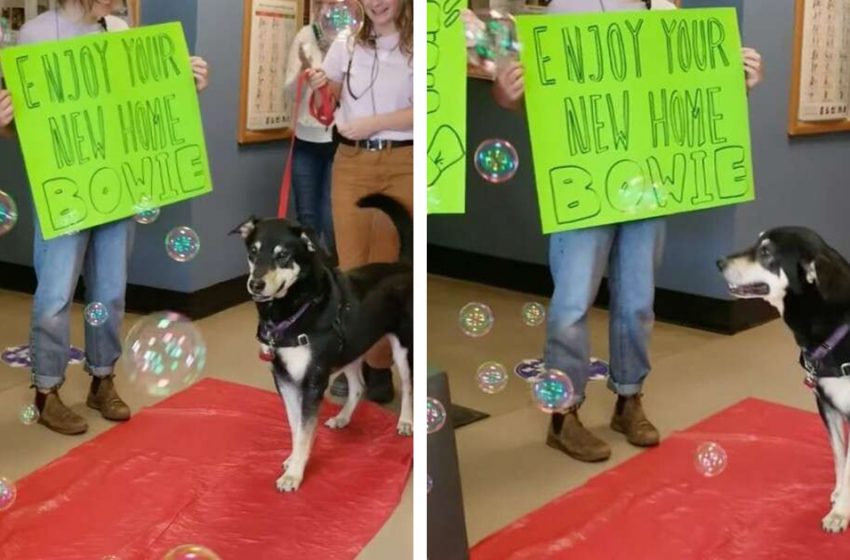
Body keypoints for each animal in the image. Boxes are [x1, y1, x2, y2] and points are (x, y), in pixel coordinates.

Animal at [230, 195, 412, 492]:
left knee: (408, 387)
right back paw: (343, 417)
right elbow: (296, 427)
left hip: (404, 349)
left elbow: (305, 430)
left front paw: (294, 474)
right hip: (350, 348)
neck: (292, 309)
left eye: (283, 255)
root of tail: (404, 265)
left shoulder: (313, 382)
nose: (255, 284)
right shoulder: (285, 380)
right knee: (358, 387)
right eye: (253, 252)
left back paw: (406, 421)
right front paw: (294, 459)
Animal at [720, 225, 848, 532]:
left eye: (766, 251)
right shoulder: (826, 404)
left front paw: (840, 512)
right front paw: (840, 495)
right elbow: (840, 456)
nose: (719, 262)